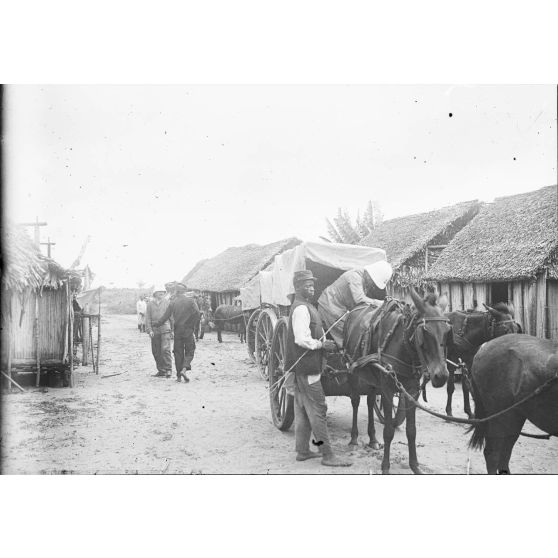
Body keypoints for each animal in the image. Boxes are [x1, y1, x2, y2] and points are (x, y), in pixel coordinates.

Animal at [326, 290, 452, 474]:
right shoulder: (387, 389)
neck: (404, 347)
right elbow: (388, 431)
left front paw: (415, 465)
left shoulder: (412, 390)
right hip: (352, 371)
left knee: (370, 401)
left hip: (372, 377)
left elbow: (411, 431)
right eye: (425, 331)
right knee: (355, 401)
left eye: (448, 331)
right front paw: (385, 466)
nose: (441, 375)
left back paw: (372, 439)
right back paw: (354, 438)